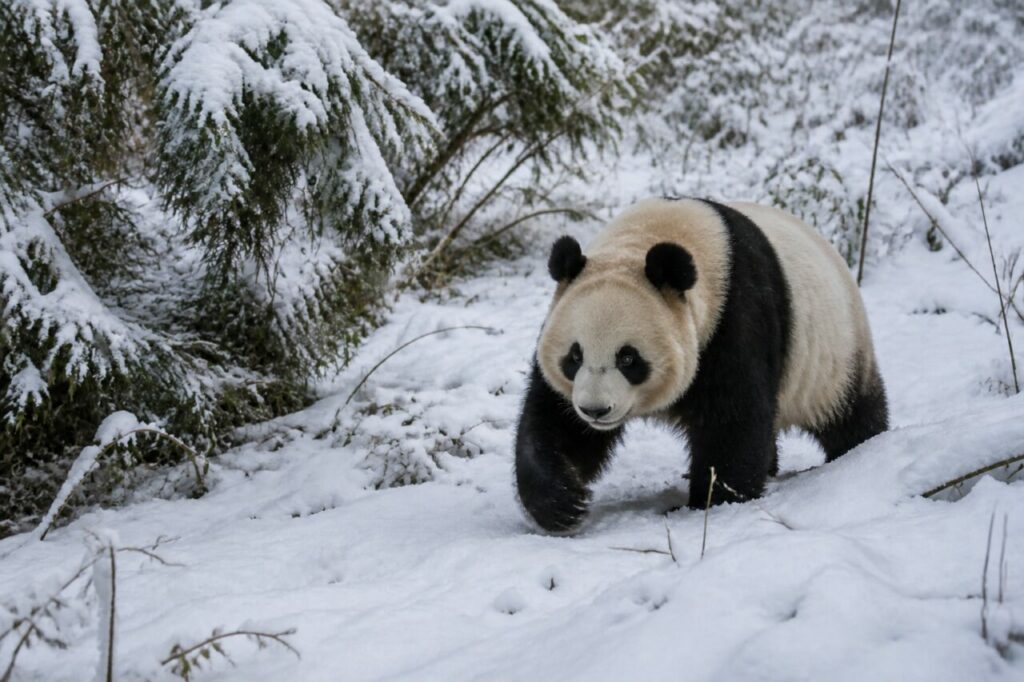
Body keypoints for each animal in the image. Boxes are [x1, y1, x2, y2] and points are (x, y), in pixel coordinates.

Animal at [514, 197, 888, 533]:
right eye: (574, 356)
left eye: (628, 358)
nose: (595, 410)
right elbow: (556, 422)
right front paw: (562, 503)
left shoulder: (733, 321)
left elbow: (734, 420)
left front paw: (712, 502)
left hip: (836, 355)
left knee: (853, 415)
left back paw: (865, 451)